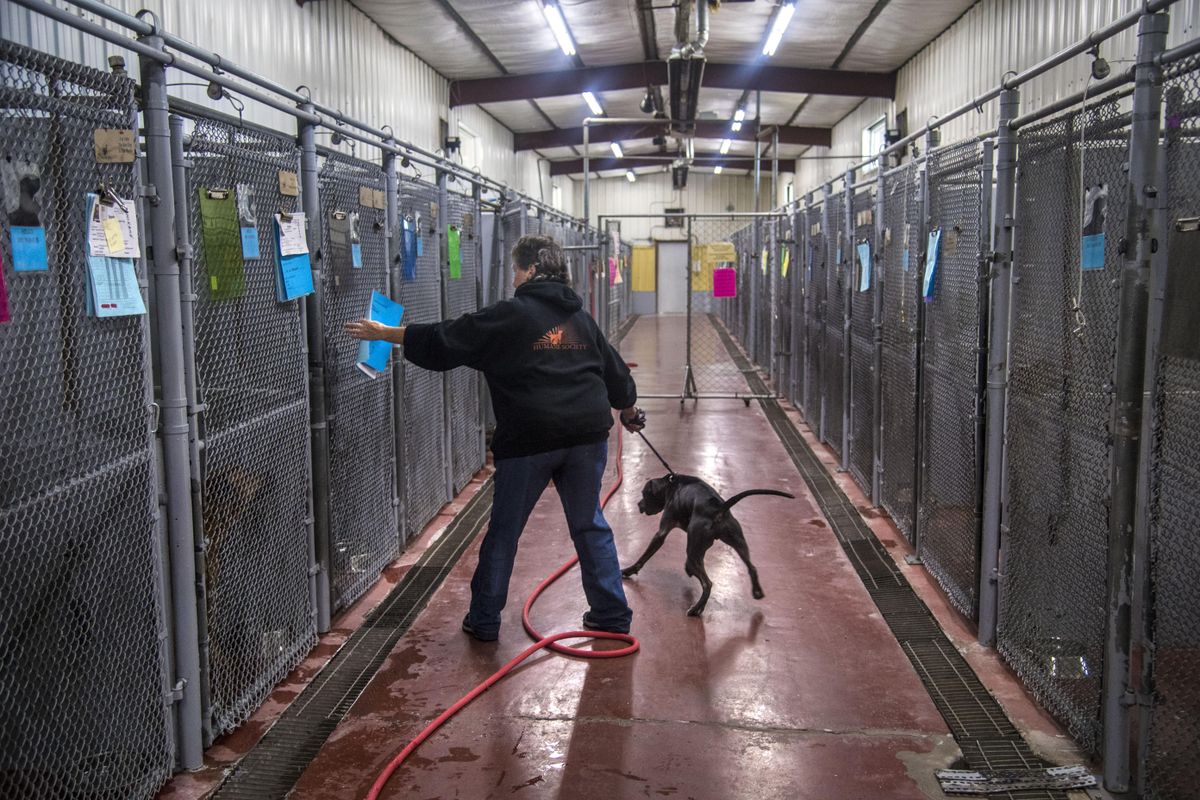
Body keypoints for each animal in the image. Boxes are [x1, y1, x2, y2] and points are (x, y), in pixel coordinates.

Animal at [619, 474, 796, 618]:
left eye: (644, 493)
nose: (638, 504)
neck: (671, 485)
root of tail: (719, 509)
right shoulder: (701, 547)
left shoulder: (662, 533)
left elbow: (643, 557)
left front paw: (628, 570)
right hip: (736, 543)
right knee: (751, 567)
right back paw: (756, 591)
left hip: (693, 550)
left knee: (707, 583)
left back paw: (696, 608)